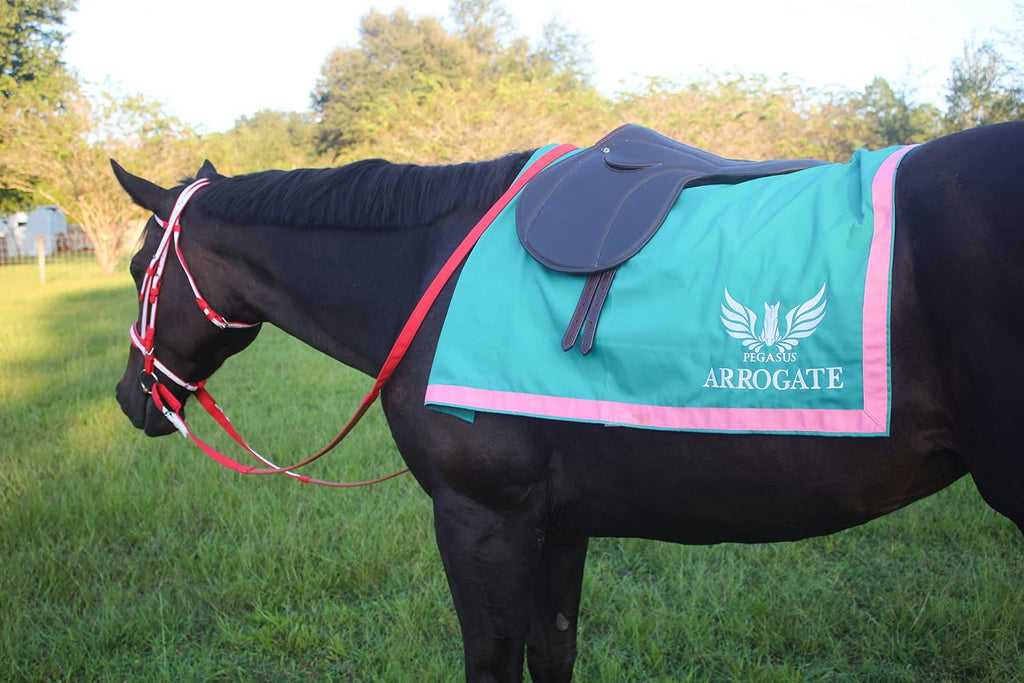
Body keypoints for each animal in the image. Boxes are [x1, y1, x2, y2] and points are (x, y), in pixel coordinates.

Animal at [113, 121, 1024, 683]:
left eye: (136, 269)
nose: (131, 399)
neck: (432, 263)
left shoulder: (481, 519)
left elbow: (491, 661)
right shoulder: (558, 524)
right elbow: (553, 653)